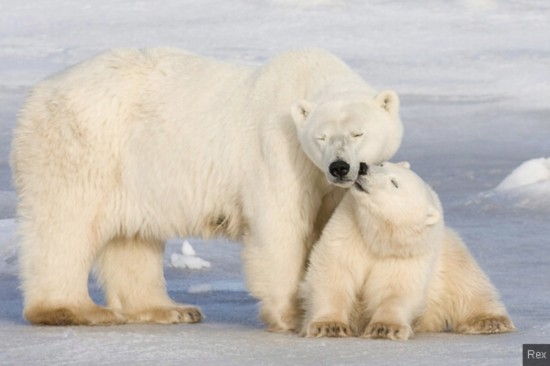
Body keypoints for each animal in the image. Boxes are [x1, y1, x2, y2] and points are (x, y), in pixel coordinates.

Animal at [10, 47, 404, 330]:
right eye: (321, 137)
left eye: (358, 133)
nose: (339, 166)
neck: (308, 80)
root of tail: (39, 91)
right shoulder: (279, 151)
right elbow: (281, 226)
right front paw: (292, 315)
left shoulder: (326, 184)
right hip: (82, 144)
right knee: (65, 224)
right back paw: (74, 309)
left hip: (133, 172)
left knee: (132, 238)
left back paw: (171, 309)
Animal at [300, 162, 516, 338]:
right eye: (381, 163)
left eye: (394, 183)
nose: (363, 167)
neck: (377, 237)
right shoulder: (347, 231)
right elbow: (334, 272)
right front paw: (329, 326)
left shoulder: (407, 253)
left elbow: (397, 287)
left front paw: (385, 328)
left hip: (450, 253)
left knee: (467, 282)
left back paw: (490, 321)